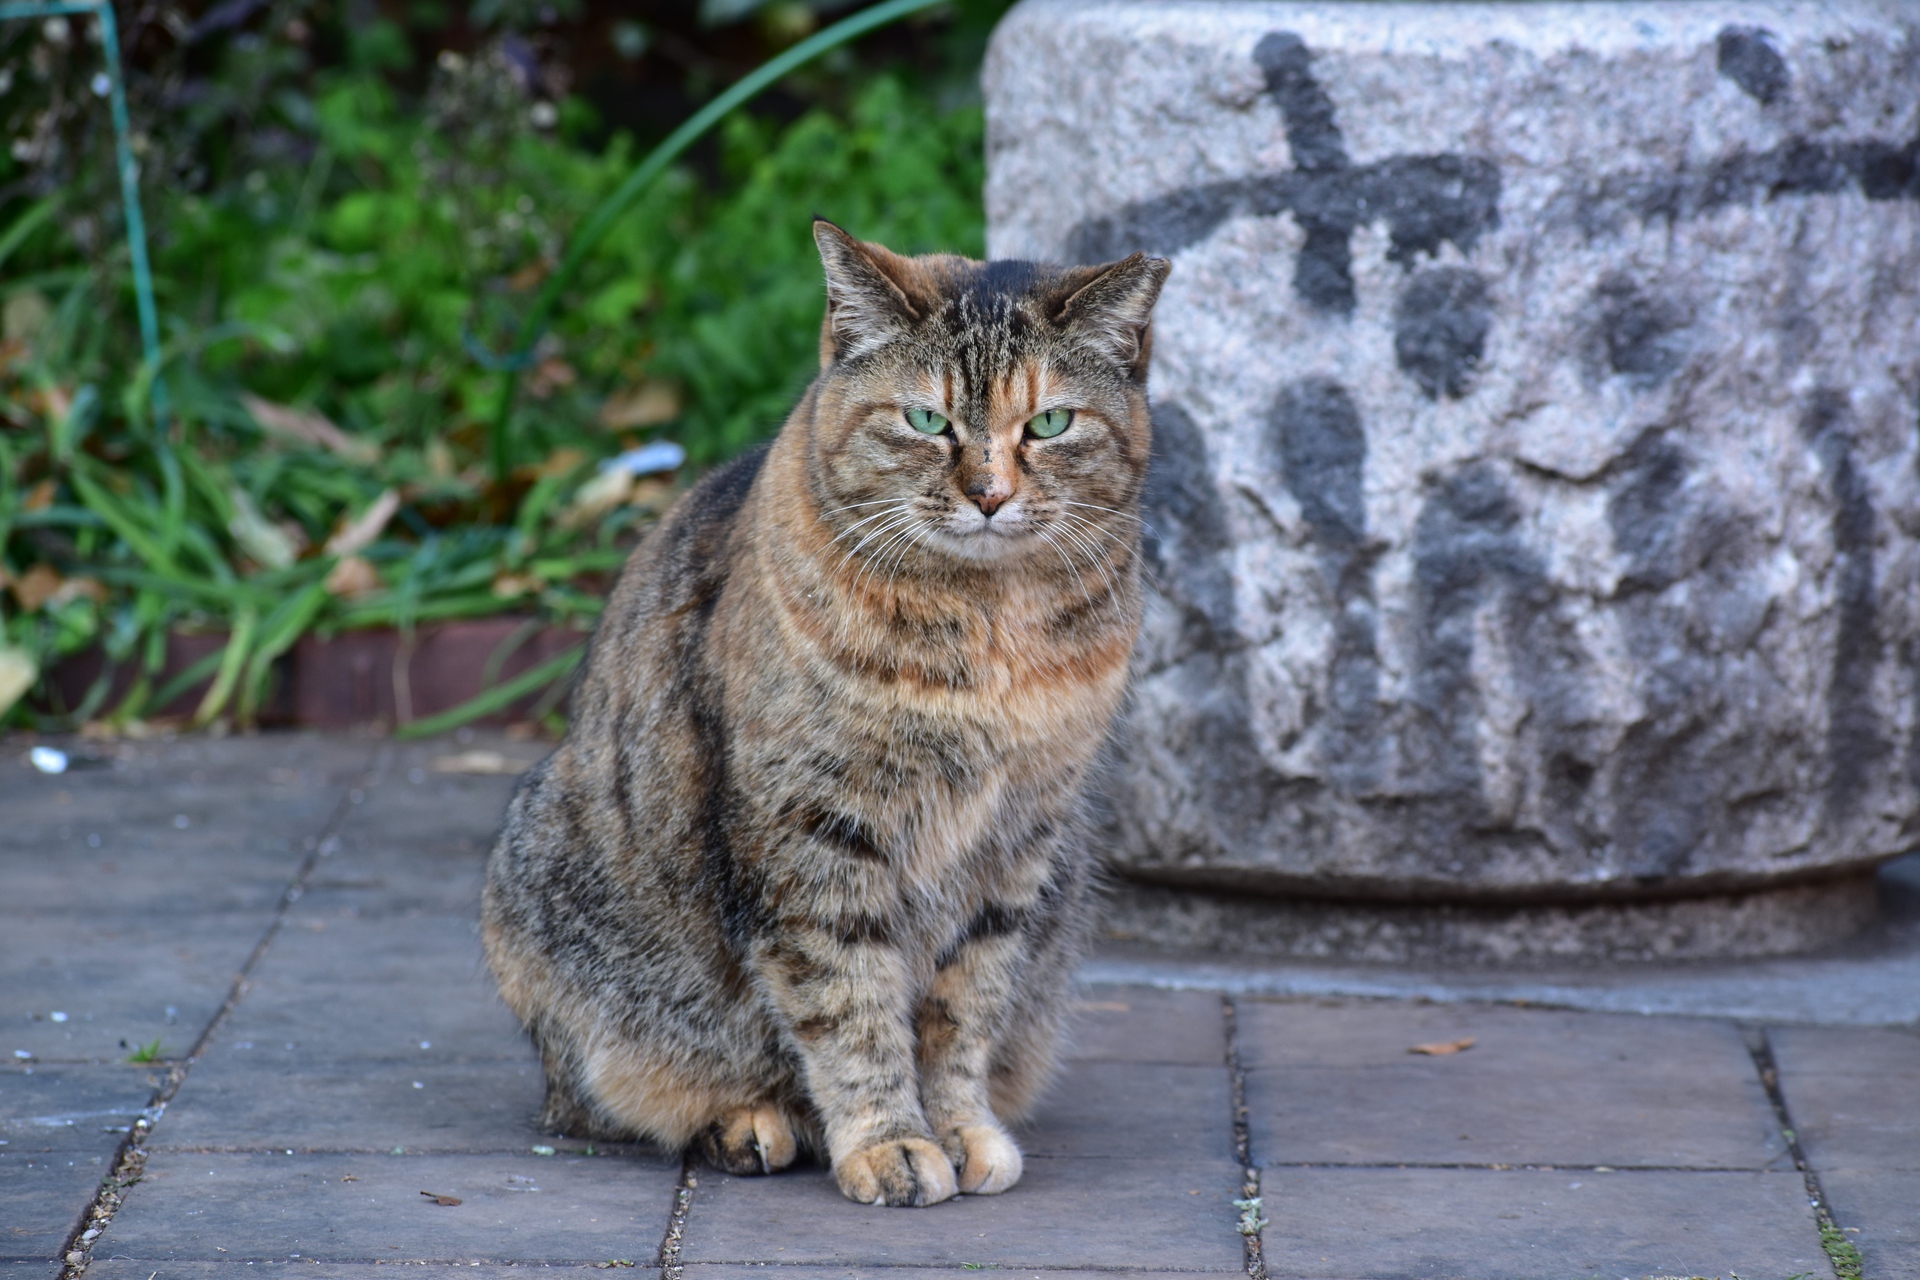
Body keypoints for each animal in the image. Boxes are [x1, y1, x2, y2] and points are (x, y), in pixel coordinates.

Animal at [480, 222, 1167, 1212]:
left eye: (1049, 424)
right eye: (925, 421)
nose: (988, 494)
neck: (990, 630)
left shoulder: (1019, 842)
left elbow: (964, 1008)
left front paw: (958, 1125)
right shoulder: (815, 831)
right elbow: (851, 1004)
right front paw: (889, 1141)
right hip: (545, 880)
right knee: (603, 1097)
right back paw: (744, 1120)